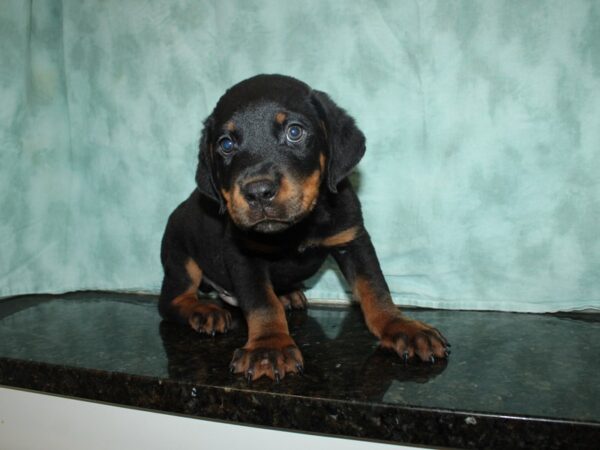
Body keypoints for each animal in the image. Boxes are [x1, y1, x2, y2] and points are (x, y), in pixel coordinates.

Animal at [157, 74, 448, 384]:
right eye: (226, 144)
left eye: (294, 132)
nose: (258, 193)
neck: (297, 228)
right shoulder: (242, 255)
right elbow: (261, 302)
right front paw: (268, 347)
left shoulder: (353, 239)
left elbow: (374, 287)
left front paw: (400, 327)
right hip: (180, 255)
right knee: (171, 300)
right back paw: (204, 311)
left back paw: (286, 294)